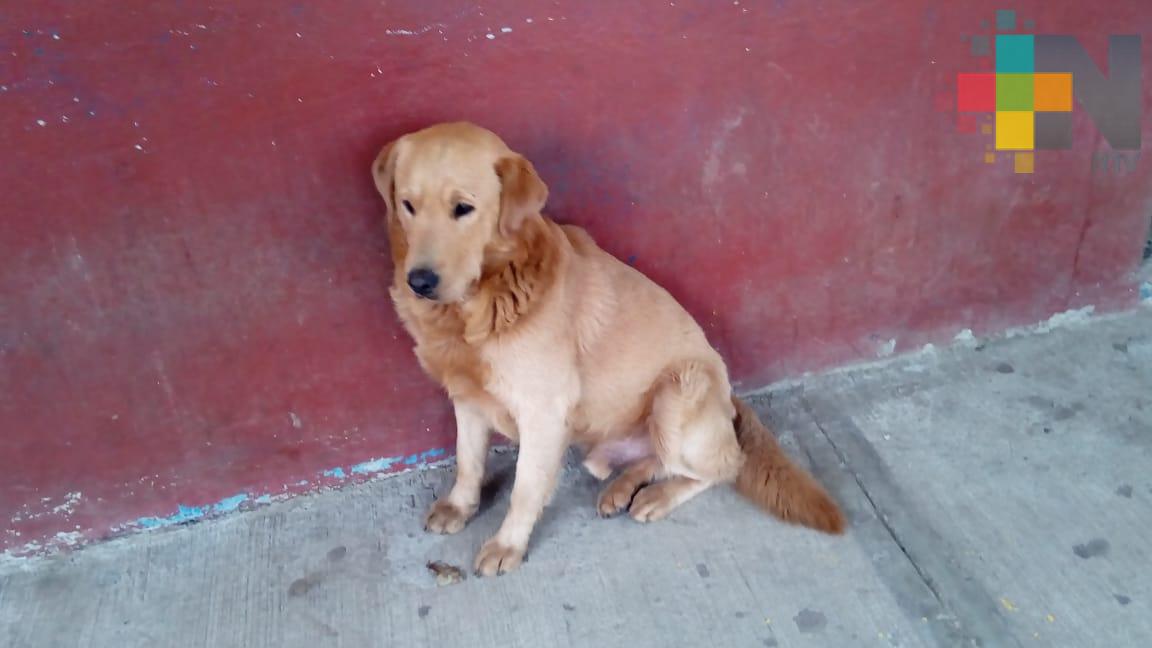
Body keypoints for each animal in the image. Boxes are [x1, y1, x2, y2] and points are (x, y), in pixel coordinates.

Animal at [373, 121, 843, 574]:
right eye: (408, 205)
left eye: (463, 209)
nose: (419, 281)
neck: (477, 307)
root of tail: (730, 401)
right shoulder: (467, 397)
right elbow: (468, 461)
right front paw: (460, 506)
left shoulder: (543, 413)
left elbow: (524, 488)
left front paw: (508, 544)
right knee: (656, 458)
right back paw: (622, 487)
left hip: (679, 390)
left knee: (724, 466)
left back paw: (657, 496)